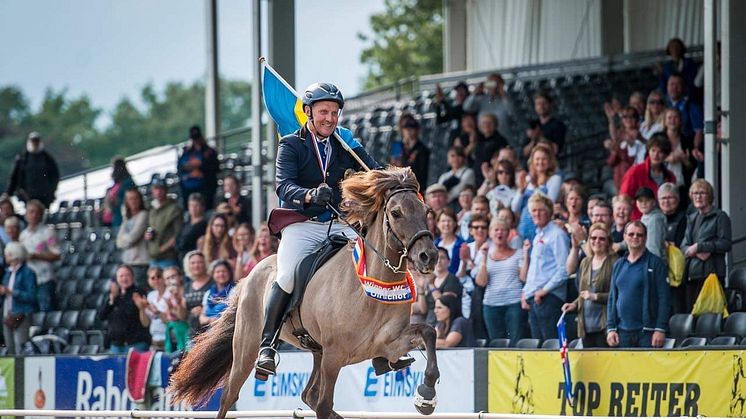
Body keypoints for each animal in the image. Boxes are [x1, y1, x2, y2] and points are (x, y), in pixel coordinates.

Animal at [169, 167, 442, 419]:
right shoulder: (334, 356)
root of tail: (249, 275)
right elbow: (324, 405)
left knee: (307, 394)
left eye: (426, 211)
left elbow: (429, 332)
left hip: (316, 350)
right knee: (229, 395)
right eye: (396, 213)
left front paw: (426, 396)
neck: (371, 289)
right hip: (247, 348)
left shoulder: (389, 344)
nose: (428, 256)